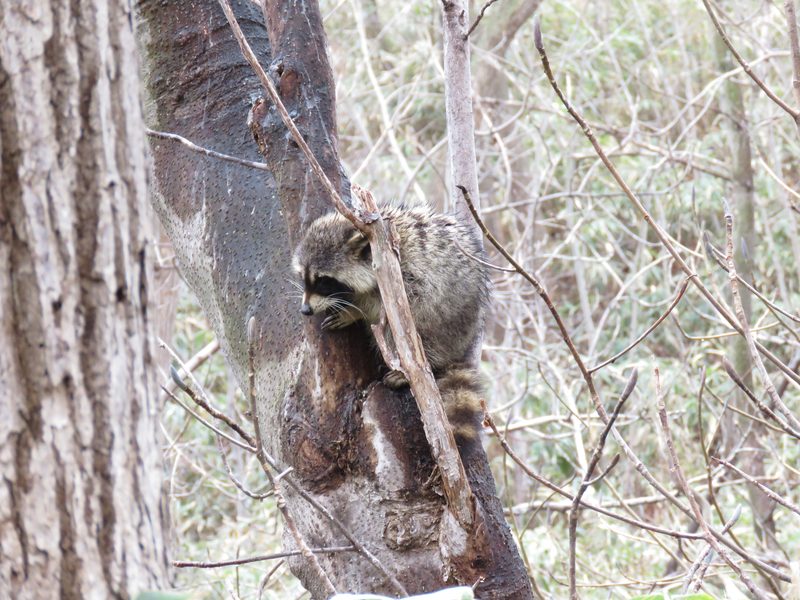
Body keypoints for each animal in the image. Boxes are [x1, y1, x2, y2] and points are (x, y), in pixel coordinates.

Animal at [291, 201, 491, 443]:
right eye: (304, 277)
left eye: (323, 281)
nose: (305, 310)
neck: (370, 249)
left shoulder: (406, 274)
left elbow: (388, 305)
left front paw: (354, 311)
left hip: (445, 317)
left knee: (415, 326)